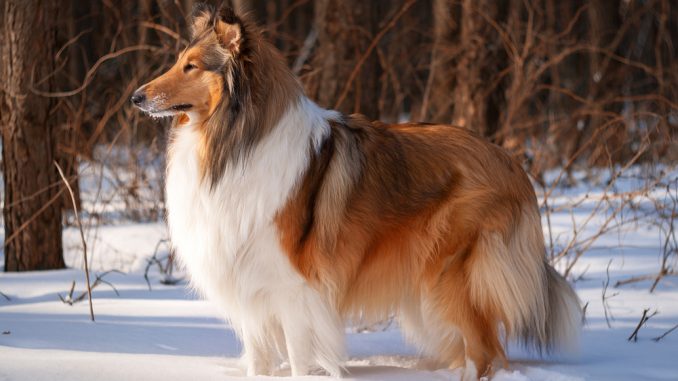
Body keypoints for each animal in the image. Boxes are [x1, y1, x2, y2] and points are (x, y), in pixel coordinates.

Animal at [134, 2, 584, 378]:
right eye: (179, 62)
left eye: (191, 66)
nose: (136, 97)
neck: (236, 143)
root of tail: (512, 163)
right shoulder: (250, 286)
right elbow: (260, 360)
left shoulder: (293, 289)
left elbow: (298, 359)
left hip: (453, 276)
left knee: (487, 352)